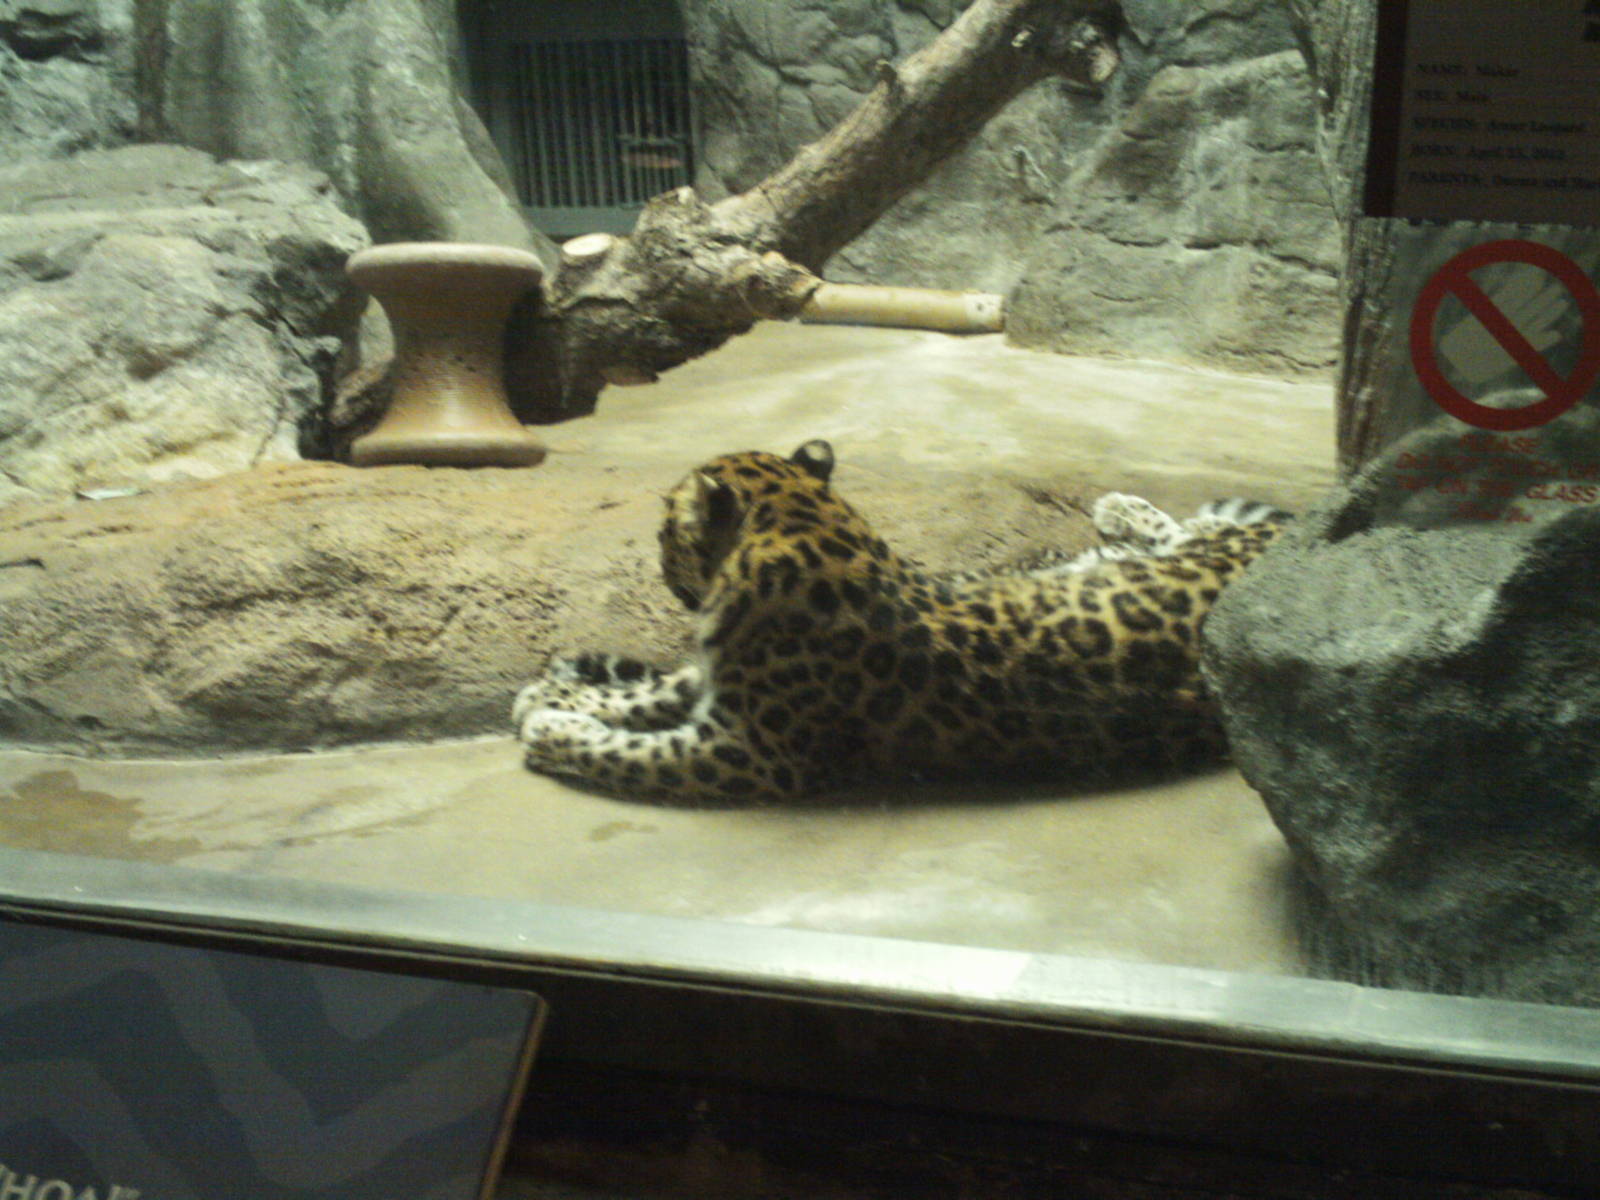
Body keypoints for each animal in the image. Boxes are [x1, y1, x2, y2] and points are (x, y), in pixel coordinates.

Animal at [514, 439, 1288, 804]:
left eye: (663, 531)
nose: (655, 562)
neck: (804, 523)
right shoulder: (721, 686)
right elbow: (652, 692)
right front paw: (558, 695)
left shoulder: (755, 753)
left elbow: (630, 754)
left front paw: (553, 725)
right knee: (1182, 528)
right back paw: (1121, 511)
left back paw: (1123, 507)